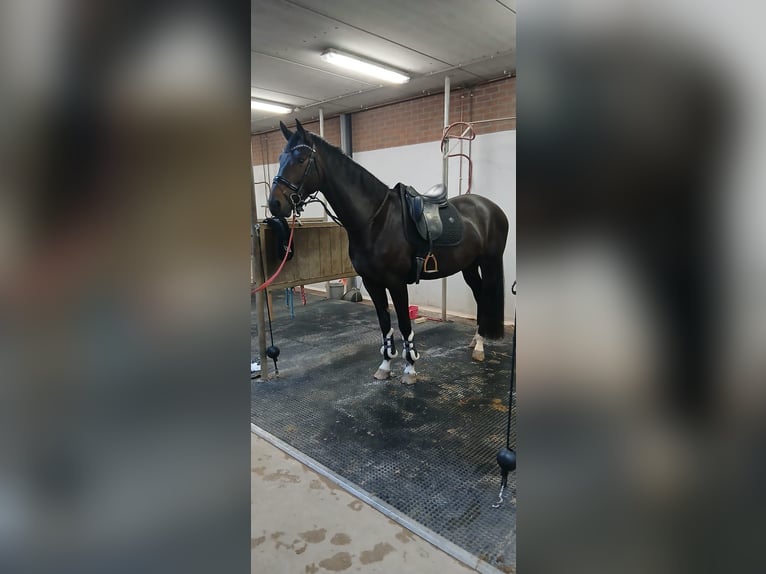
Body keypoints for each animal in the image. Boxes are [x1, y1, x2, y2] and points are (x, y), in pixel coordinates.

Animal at [268, 119, 509, 385]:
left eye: (300, 159)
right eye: (280, 157)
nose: (274, 204)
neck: (375, 220)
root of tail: (490, 207)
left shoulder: (396, 282)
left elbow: (404, 324)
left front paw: (410, 369)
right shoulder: (372, 282)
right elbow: (385, 323)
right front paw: (385, 366)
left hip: (489, 262)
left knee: (485, 295)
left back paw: (481, 346)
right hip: (469, 266)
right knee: (479, 295)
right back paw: (476, 341)